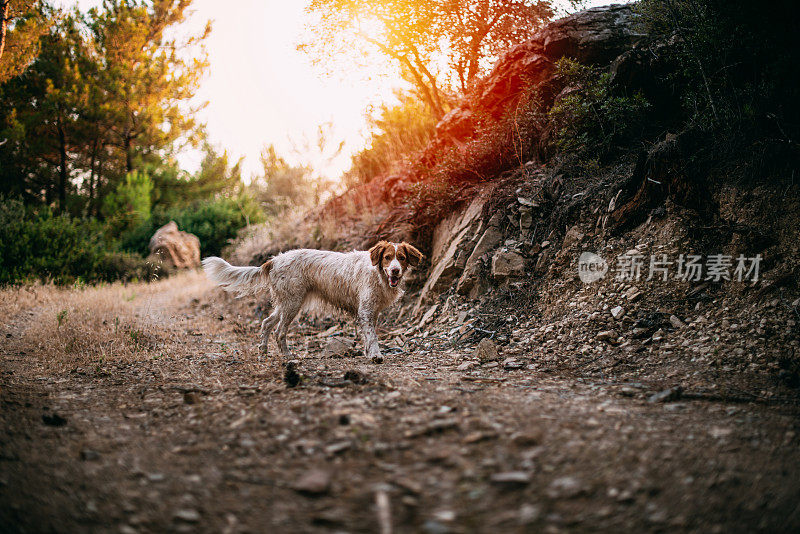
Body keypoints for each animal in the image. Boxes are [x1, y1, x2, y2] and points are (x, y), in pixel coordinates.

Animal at [203, 243, 422, 364]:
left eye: (401, 258)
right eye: (387, 257)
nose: (395, 270)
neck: (377, 274)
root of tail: (274, 260)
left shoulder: (372, 311)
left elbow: (368, 336)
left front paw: (369, 354)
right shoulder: (366, 310)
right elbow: (373, 336)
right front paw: (376, 356)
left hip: (285, 303)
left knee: (266, 323)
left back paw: (263, 354)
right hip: (292, 303)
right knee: (279, 331)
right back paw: (288, 356)